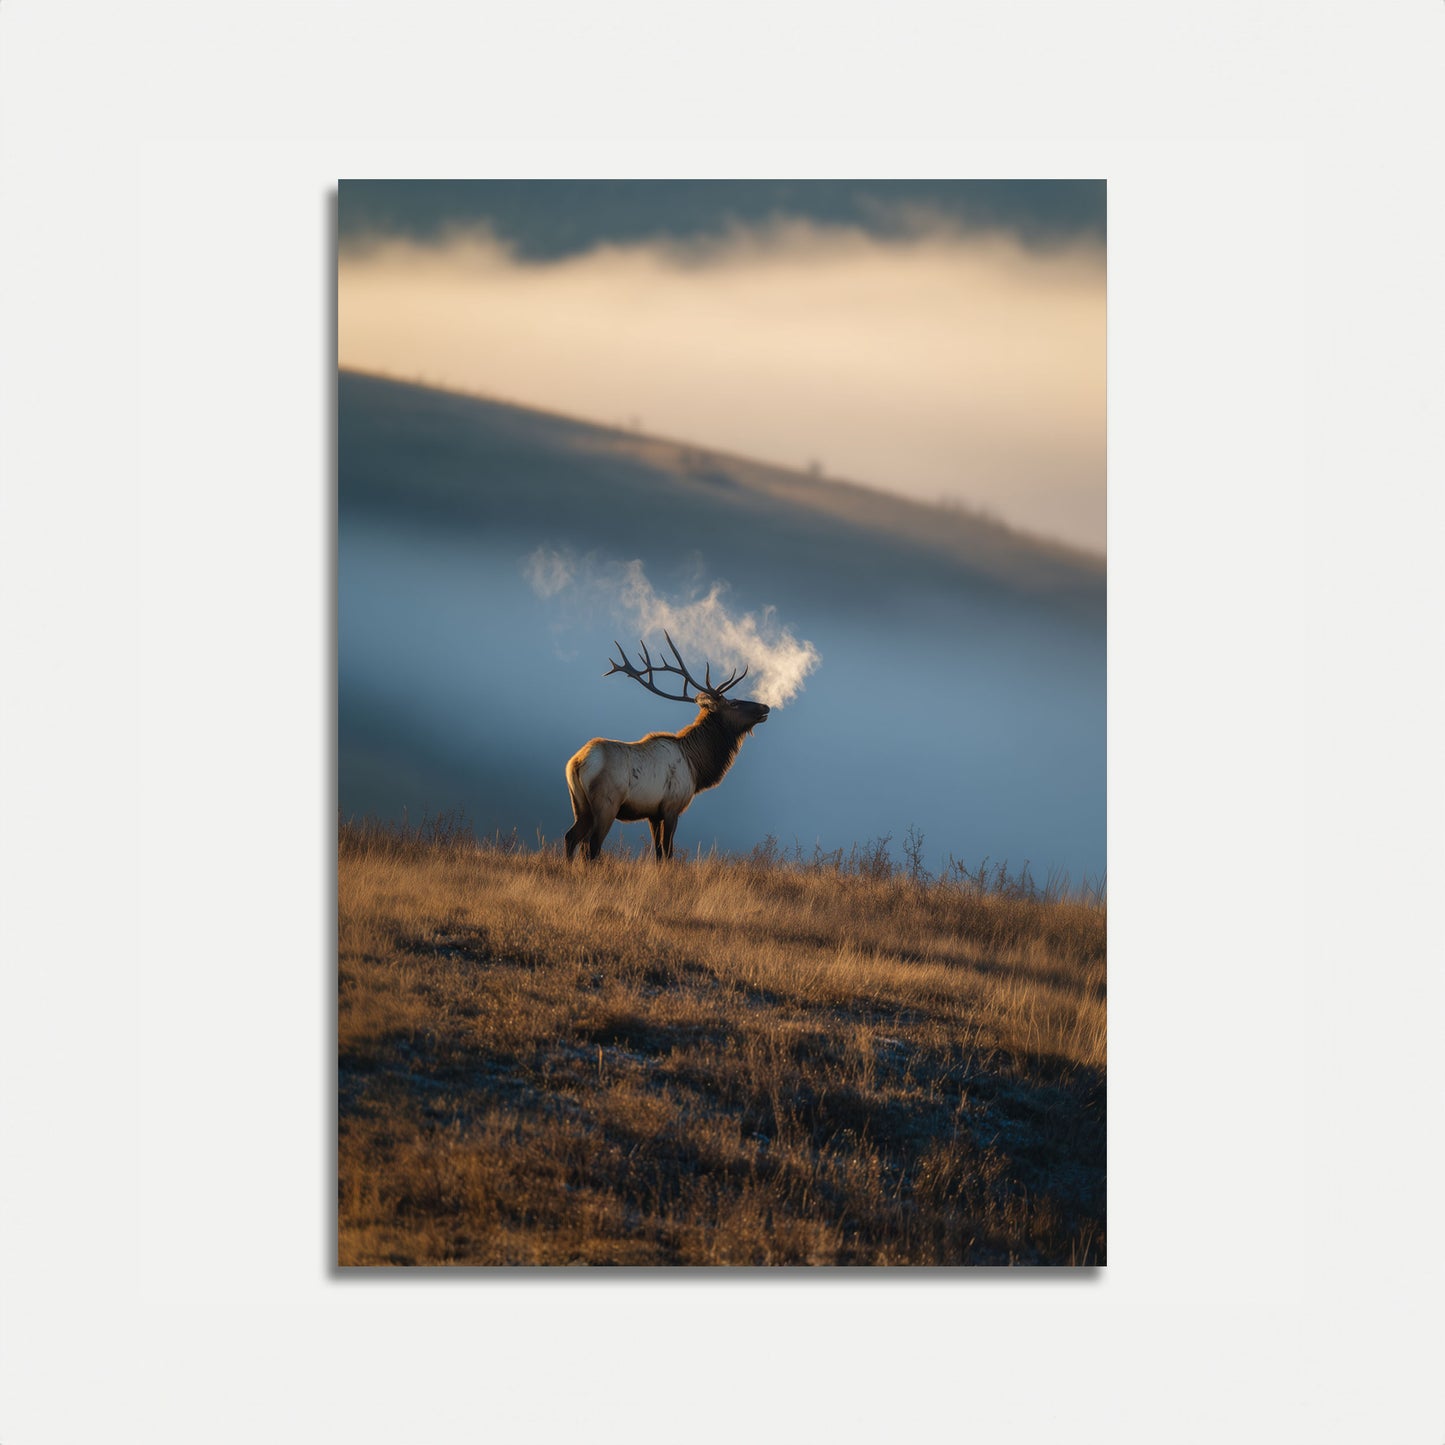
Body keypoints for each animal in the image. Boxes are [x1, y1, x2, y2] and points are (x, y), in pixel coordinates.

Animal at [564, 632, 770, 861]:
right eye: (733, 703)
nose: (765, 706)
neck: (696, 766)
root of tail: (577, 762)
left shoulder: (653, 814)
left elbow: (658, 852)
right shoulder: (672, 807)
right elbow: (668, 851)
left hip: (579, 804)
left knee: (571, 837)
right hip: (606, 804)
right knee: (591, 846)